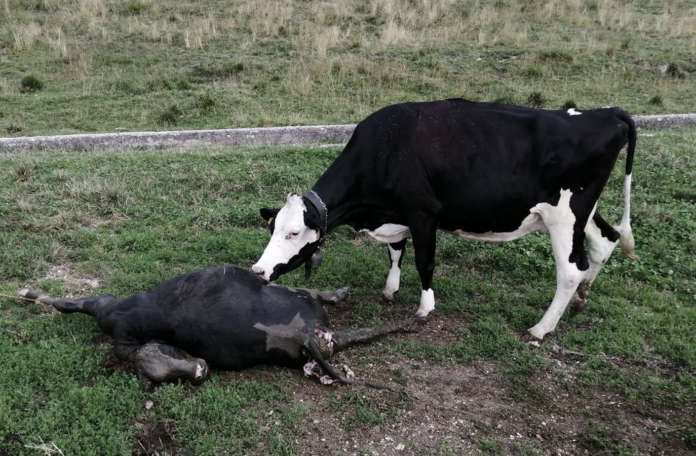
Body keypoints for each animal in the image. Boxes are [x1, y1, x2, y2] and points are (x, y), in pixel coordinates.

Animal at [253, 100, 640, 342]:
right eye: (272, 228)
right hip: (582, 212)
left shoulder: (423, 212)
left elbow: (424, 262)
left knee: (571, 270)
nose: (258, 270)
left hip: (564, 215)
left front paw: (425, 308)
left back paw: (541, 328)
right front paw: (390, 289)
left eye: (293, 233)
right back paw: (580, 301)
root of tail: (604, 113)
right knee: (605, 240)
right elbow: (396, 251)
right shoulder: (398, 214)